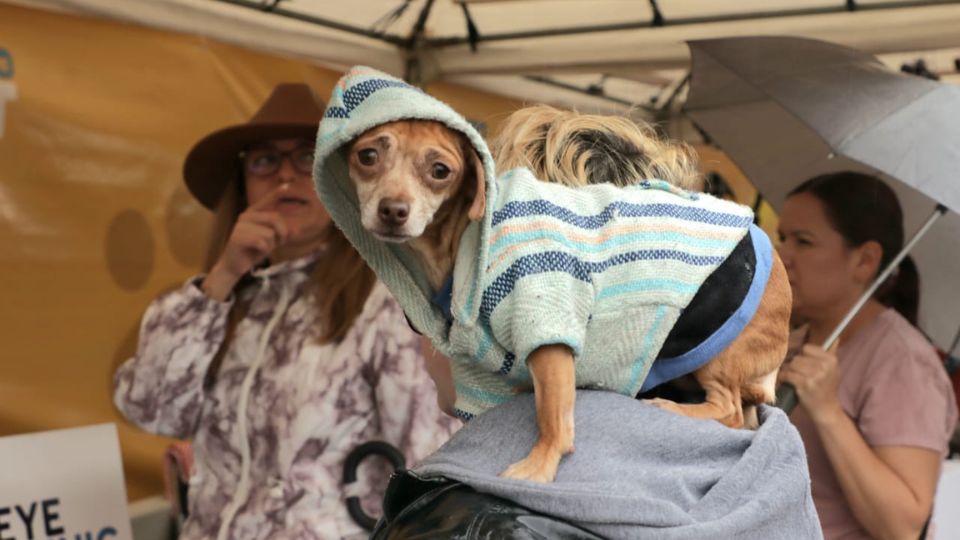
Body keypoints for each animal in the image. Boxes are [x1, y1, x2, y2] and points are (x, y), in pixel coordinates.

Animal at [342, 113, 792, 480]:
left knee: (728, 410)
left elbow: (554, 419)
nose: (393, 209)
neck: (460, 242)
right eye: (367, 156)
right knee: (742, 416)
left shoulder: (548, 334)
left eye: (440, 171)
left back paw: (674, 408)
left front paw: (538, 468)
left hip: (716, 345)